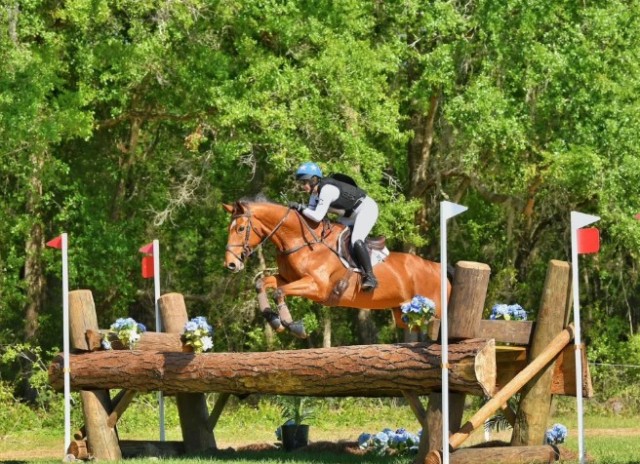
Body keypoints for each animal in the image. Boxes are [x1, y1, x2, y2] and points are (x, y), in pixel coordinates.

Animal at [223, 198, 449, 338]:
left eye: (240, 229)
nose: (230, 264)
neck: (301, 241)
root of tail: (438, 268)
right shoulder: (289, 279)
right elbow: (262, 283)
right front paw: (274, 320)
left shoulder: (317, 287)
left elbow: (279, 291)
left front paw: (293, 325)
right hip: (405, 314)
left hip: (436, 309)